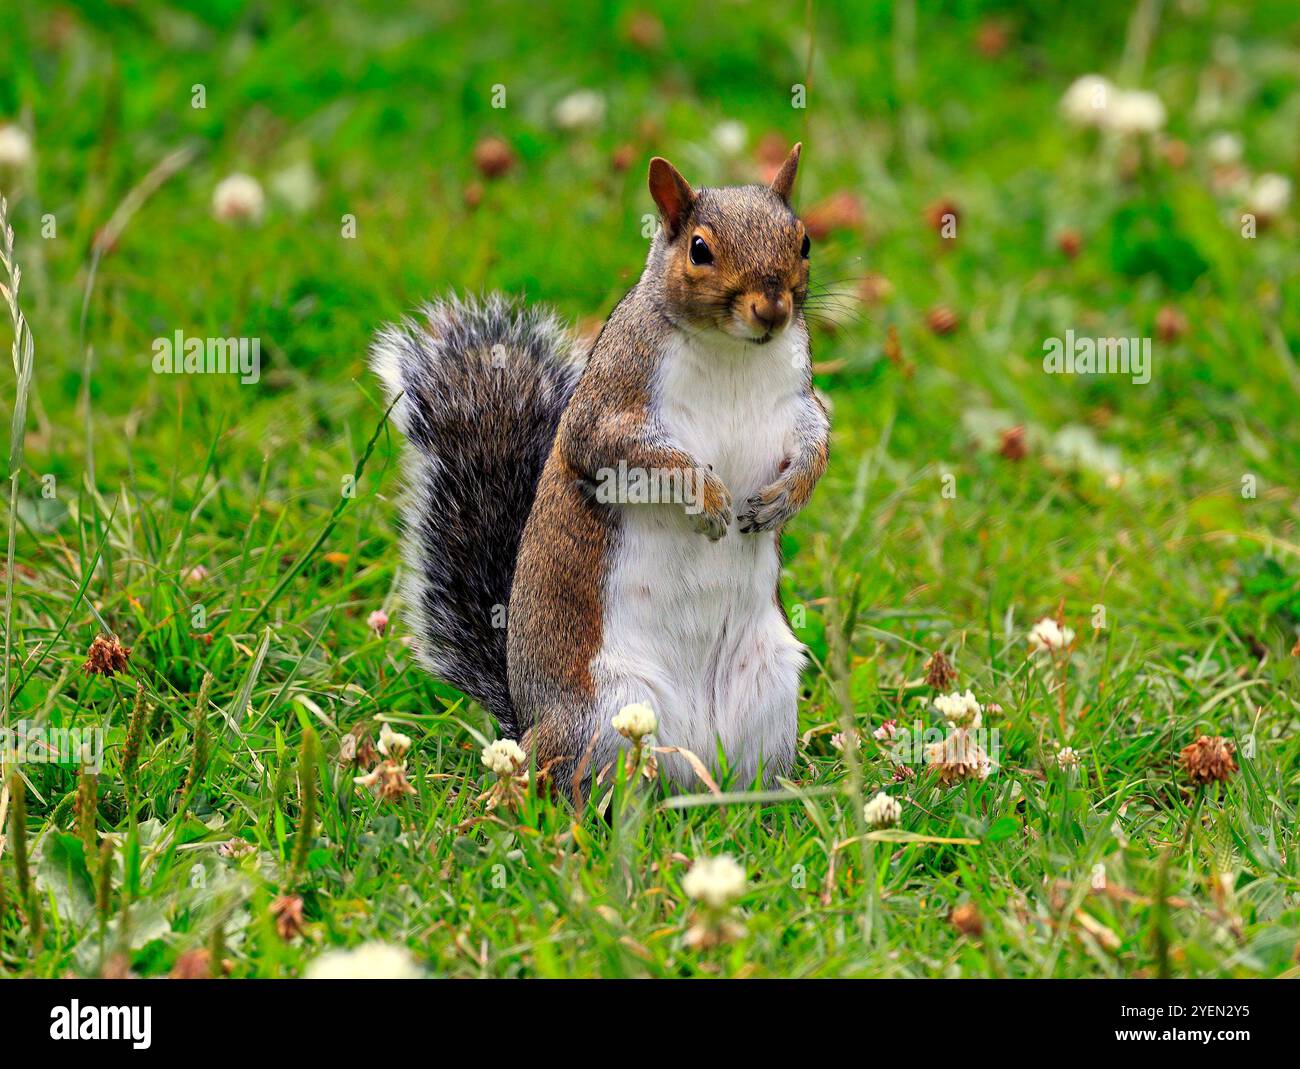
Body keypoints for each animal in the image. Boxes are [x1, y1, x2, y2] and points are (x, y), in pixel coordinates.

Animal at [371, 143, 829, 794]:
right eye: (699, 249)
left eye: (804, 240)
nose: (773, 308)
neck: (735, 352)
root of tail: (526, 721)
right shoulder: (611, 403)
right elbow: (627, 450)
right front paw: (708, 497)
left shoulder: (798, 400)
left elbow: (815, 440)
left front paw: (787, 496)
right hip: (602, 711)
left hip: (768, 687)